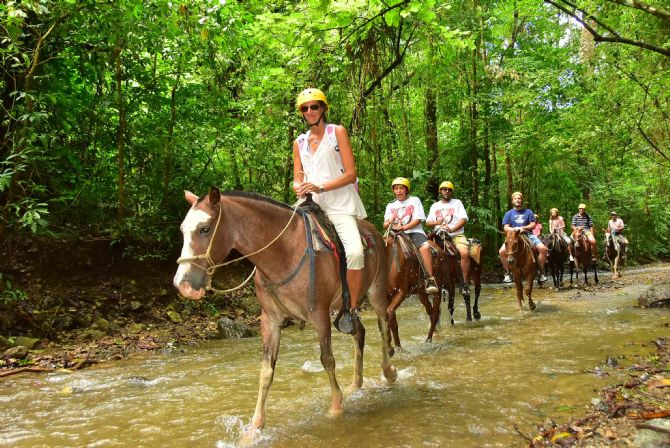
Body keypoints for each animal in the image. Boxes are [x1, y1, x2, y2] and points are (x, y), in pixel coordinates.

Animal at [172, 188, 400, 430]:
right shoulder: (270, 320)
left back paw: (389, 372)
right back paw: (356, 384)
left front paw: (335, 407)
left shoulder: (320, 315)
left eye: (205, 229)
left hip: (376, 292)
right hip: (343, 309)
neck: (284, 252)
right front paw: (255, 425)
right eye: (183, 230)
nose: (182, 284)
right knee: (359, 332)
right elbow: (266, 370)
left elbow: (327, 360)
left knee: (383, 326)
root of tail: (373, 230)